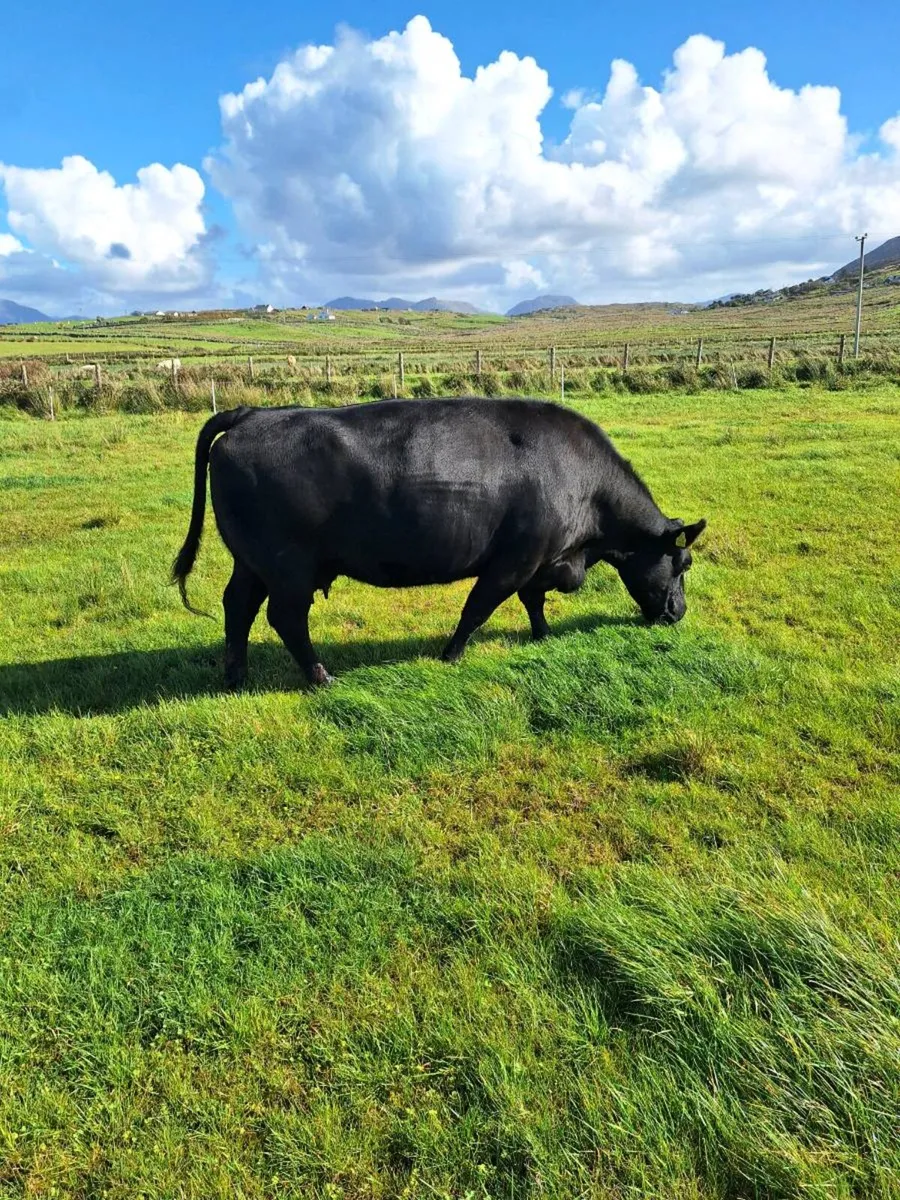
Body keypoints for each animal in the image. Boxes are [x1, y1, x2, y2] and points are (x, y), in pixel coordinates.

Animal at [172, 398, 706, 689]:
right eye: (684, 563)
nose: (678, 612)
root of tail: (252, 415)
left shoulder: (540, 558)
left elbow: (533, 601)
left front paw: (542, 635)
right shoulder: (513, 560)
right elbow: (477, 609)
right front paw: (451, 655)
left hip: (253, 563)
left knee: (238, 605)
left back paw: (236, 675)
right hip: (289, 567)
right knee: (284, 618)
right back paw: (320, 677)